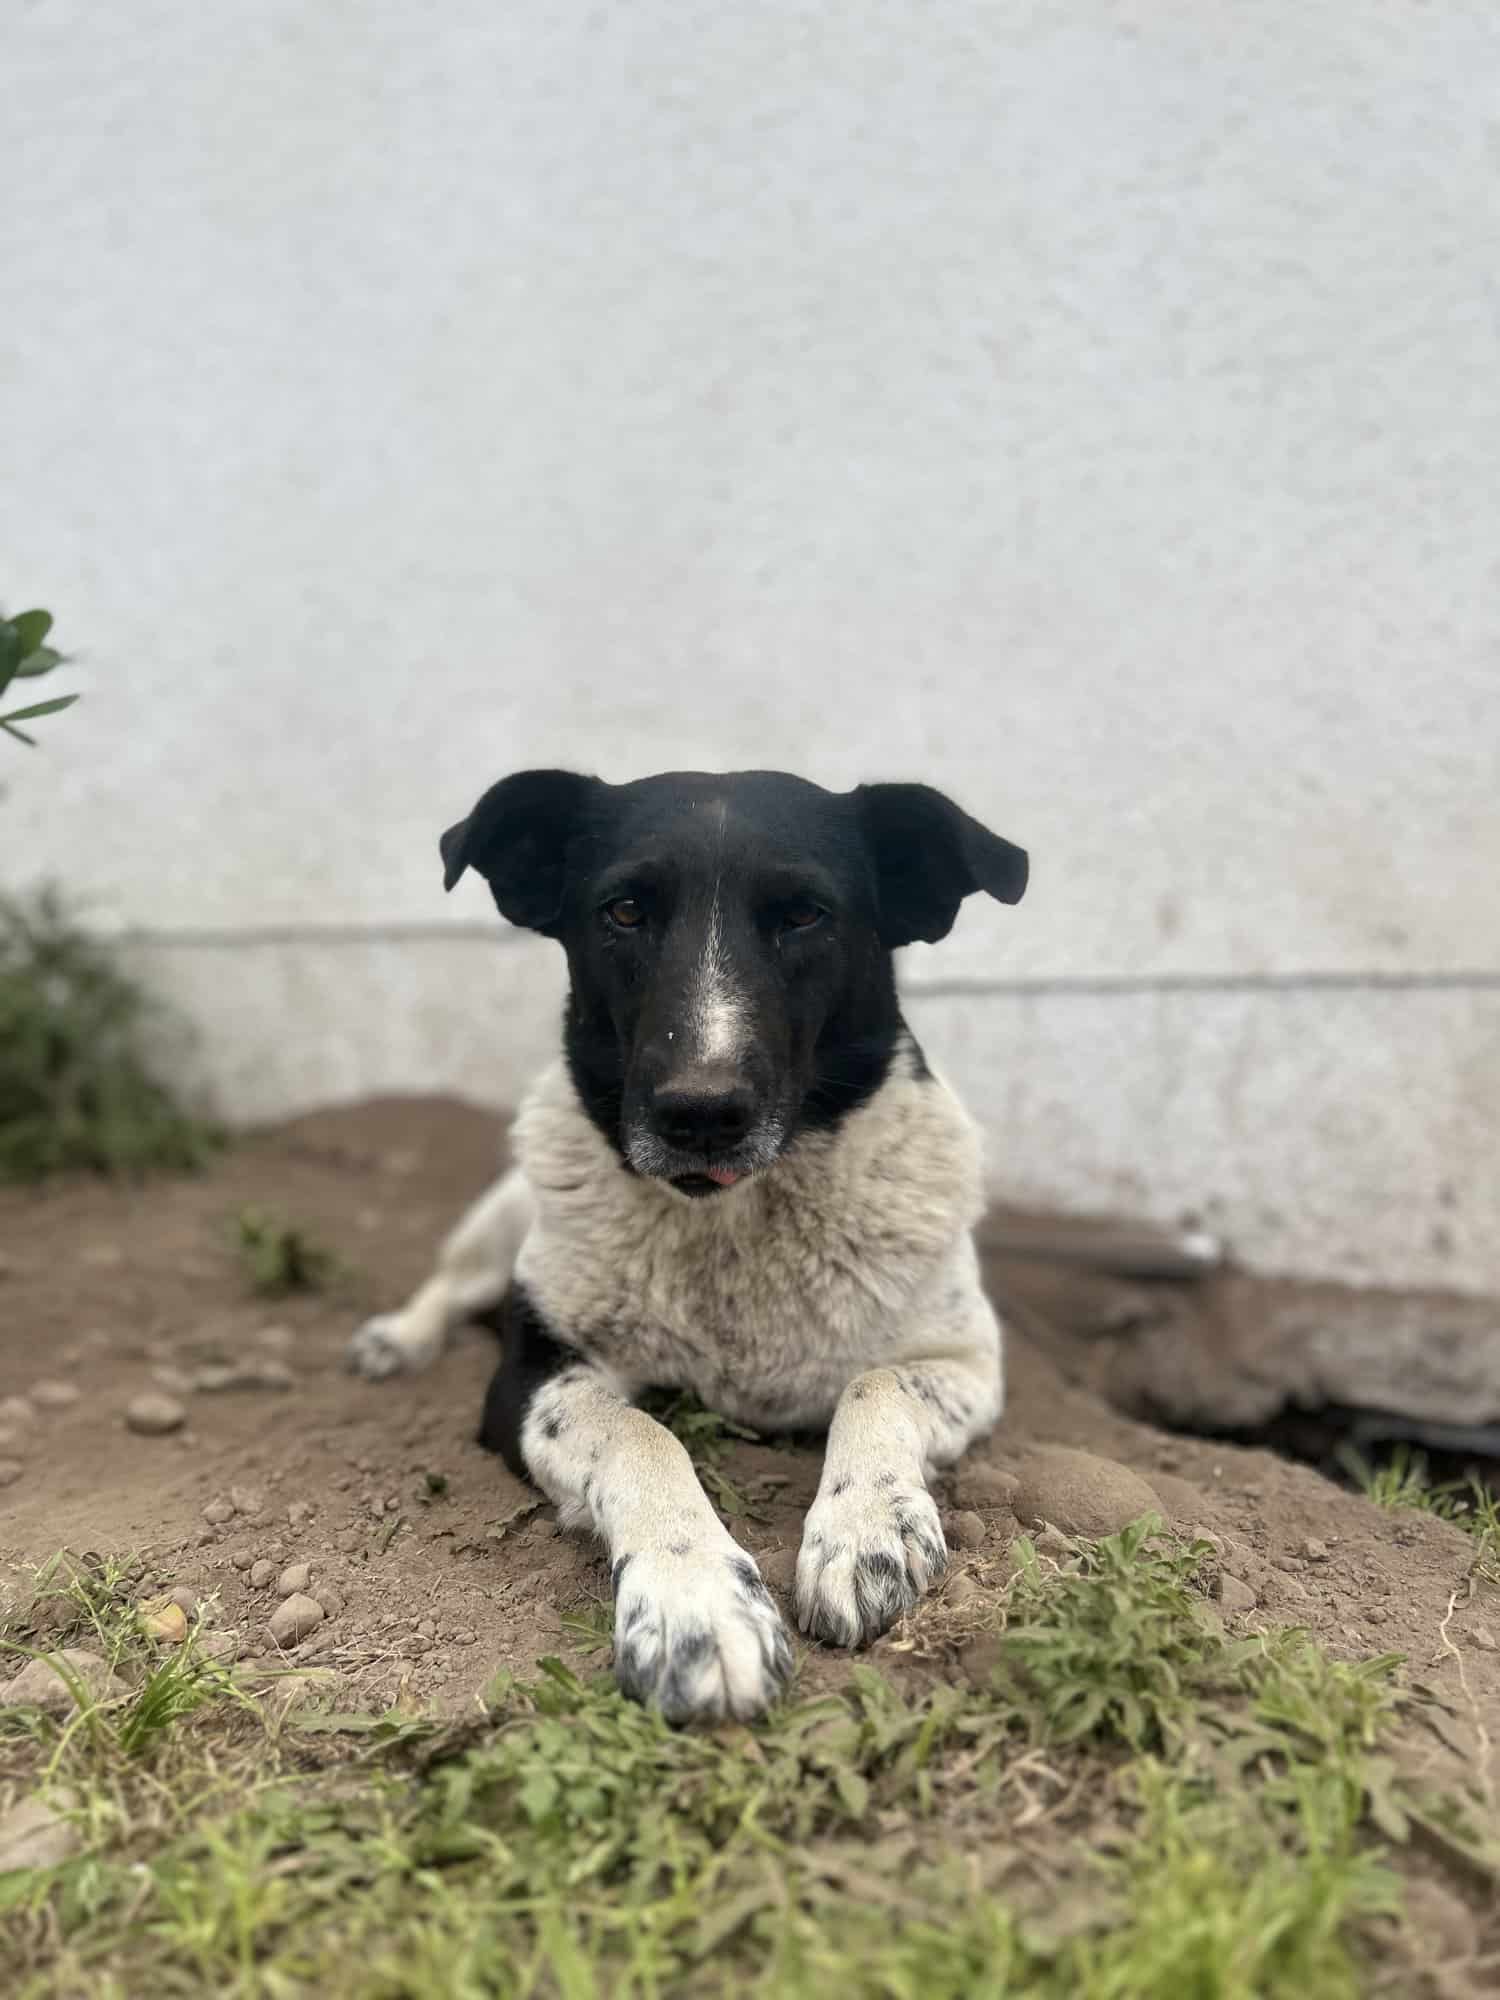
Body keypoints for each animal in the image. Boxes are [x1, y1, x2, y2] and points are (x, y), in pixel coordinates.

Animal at [352, 764, 1032, 1720]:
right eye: (625, 910)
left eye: (805, 915)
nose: (700, 1113)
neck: (733, 1224)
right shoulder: (530, 1379)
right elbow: (641, 1434)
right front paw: (697, 1605)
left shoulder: (967, 1361)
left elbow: (875, 1381)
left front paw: (866, 1528)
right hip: (498, 1221)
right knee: (450, 1285)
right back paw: (397, 1339)